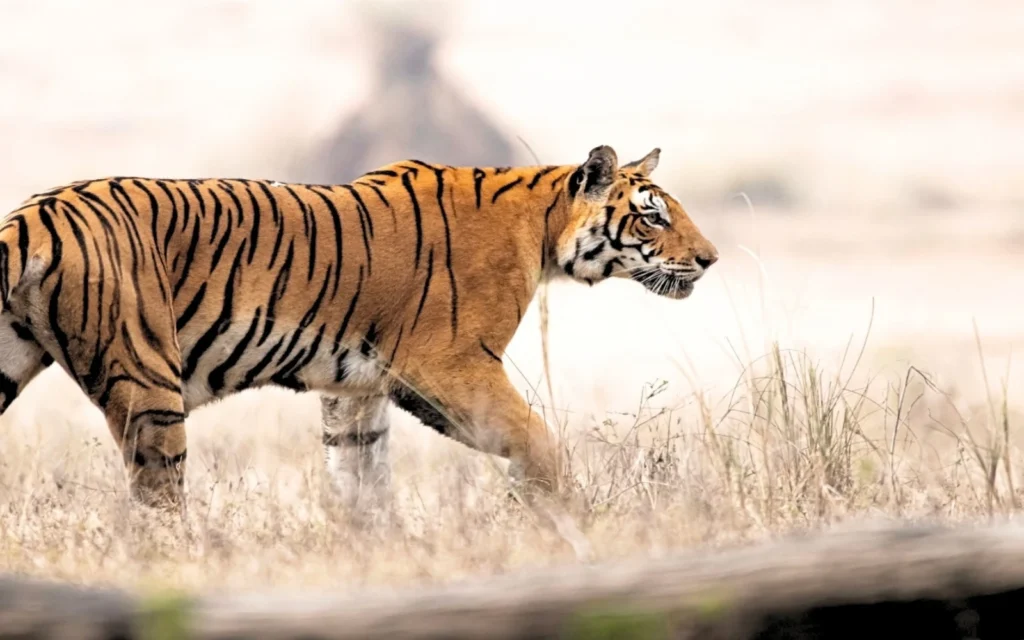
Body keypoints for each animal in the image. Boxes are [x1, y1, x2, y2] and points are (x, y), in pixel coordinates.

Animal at [0, 144, 717, 548]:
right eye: (652, 214)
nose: (710, 259)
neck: (543, 233)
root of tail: (32, 214)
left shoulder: (356, 388)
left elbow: (358, 477)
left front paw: (375, 546)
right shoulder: (449, 364)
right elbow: (537, 438)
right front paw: (565, 523)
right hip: (149, 383)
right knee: (158, 499)